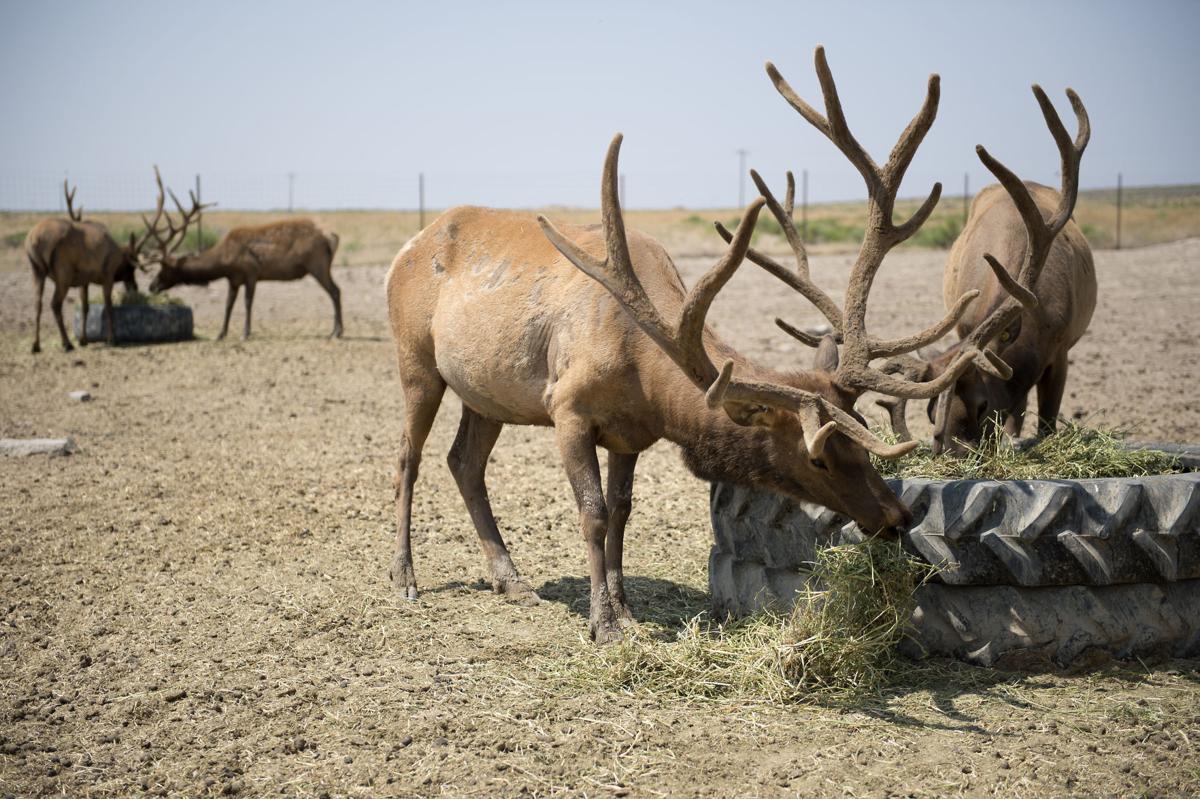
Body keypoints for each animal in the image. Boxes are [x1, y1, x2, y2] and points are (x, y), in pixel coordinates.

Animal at [26, 174, 166, 353]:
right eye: (131, 268)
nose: (134, 286)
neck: (118, 255)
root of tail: (35, 239)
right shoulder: (107, 275)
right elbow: (108, 306)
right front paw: (112, 339)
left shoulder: (83, 280)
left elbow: (85, 307)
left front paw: (84, 339)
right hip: (63, 273)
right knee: (55, 304)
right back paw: (66, 343)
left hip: (36, 270)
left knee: (37, 303)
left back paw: (36, 345)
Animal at [147, 200, 343, 340]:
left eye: (164, 269)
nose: (151, 286)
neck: (223, 262)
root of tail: (332, 236)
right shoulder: (233, 279)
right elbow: (228, 304)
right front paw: (221, 334)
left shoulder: (251, 272)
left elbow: (248, 302)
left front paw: (245, 333)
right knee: (335, 290)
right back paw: (334, 331)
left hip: (317, 265)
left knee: (335, 290)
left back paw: (336, 332)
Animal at [384, 47, 1027, 644]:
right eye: (818, 455)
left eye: (861, 432)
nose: (897, 515)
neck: (647, 376)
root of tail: (407, 247)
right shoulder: (567, 406)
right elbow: (592, 514)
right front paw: (603, 624)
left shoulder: (630, 433)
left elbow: (621, 512)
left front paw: (625, 608)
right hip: (415, 359)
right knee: (409, 455)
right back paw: (405, 577)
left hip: (486, 391)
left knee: (464, 461)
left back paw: (509, 578)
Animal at [876, 86, 1094, 455]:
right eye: (931, 412)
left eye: (982, 405)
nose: (952, 451)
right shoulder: (965, 328)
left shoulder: (1061, 350)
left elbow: (1047, 422)